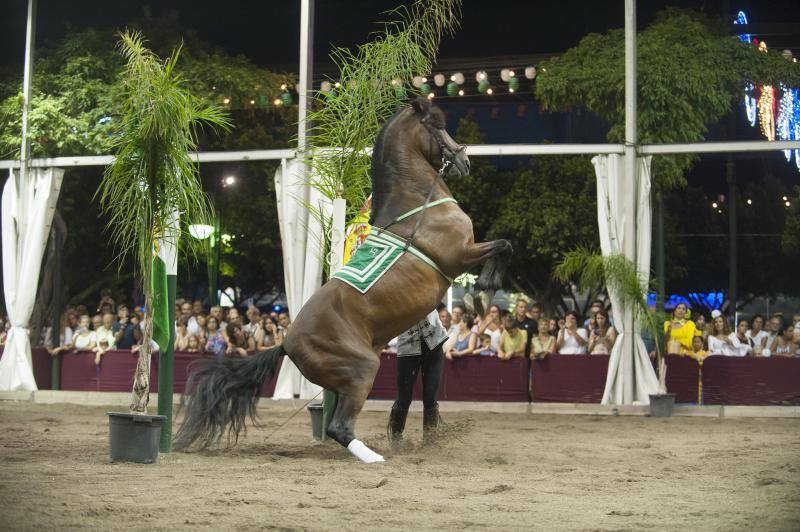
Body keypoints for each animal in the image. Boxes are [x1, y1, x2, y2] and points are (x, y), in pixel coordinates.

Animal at [175, 97, 512, 464]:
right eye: (438, 125)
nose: (464, 161)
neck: (416, 206)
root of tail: (285, 342)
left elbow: (504, 246)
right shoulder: (459, 256)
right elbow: (504, 246)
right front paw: (480, 296)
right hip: (363, 368)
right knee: (339, 426)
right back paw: (374, 457)